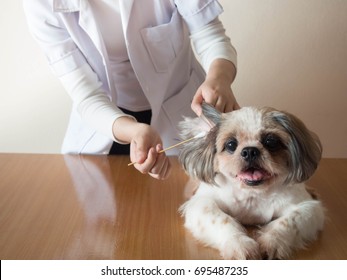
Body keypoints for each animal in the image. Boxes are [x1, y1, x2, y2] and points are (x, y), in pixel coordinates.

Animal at [179, 103, 326, 260]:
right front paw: (239, 244)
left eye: (271, 142)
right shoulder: (201, 203)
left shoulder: (308, 207)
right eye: (231, 144)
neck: (252, 193)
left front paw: (272, 242)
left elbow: (290, 222)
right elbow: (221, 219)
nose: (250, 151)